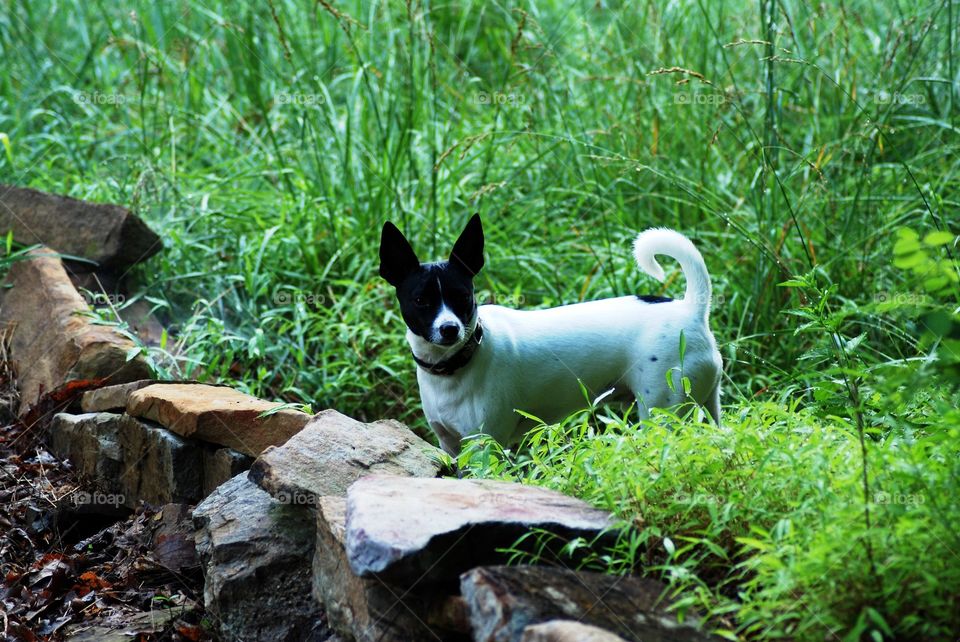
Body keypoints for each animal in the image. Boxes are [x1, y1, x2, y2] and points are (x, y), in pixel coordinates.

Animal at [378, 215, 724, 456]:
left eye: (463, 297)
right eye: (421, 300)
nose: (449, 328)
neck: (458, 365)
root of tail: (691, 310)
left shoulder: (484, 446)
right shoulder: (450, 444)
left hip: (664, 414)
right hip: (706, 404)